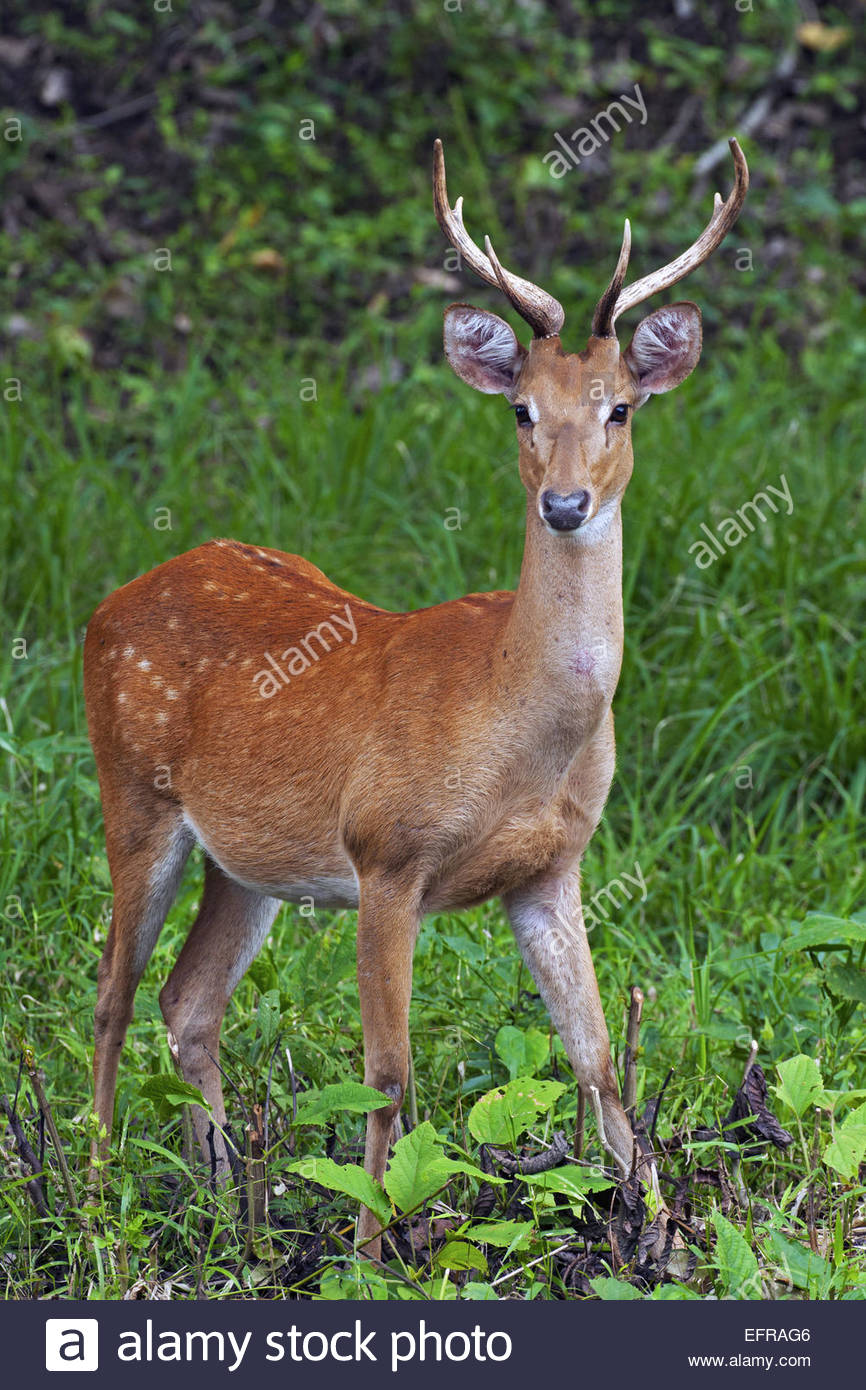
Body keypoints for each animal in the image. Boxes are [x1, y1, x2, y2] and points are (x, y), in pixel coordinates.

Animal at [83, 136, 747, 1260]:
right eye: (522, 410)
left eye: (618, 407)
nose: (564, 502)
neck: (513, 724)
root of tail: (109, 601)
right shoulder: (386, 853)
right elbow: (386, 1077)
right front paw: (368, 1250)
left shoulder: (553, 868)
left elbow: (598, 1058)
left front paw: (656, 1232)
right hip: (132, 795)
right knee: (112, 997)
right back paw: (89, 1202)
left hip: (248, 860)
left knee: (188, 1000)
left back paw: (231, 1210)